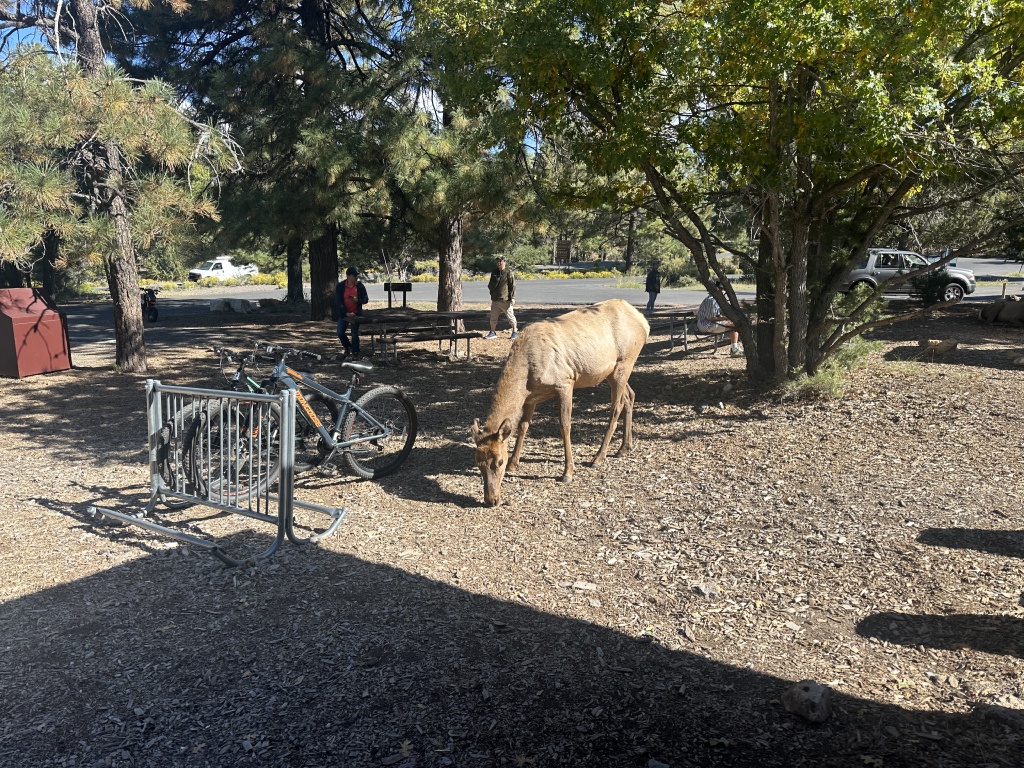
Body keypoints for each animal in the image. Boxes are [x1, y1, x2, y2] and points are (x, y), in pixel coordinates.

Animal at [471, 299, 650, 506]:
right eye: (478, 462)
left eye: (499, 461)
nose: (491, 500)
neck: (527, 377)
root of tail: (644, 322)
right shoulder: (531, 397)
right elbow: (523, 426)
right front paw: (514, 463)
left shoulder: (565, 382)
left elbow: (564, 425)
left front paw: (567, 472)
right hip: (612, 372)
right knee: (630, 396)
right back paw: (624, 448)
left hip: (624, 362)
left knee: (616, 407)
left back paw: (598, 457)